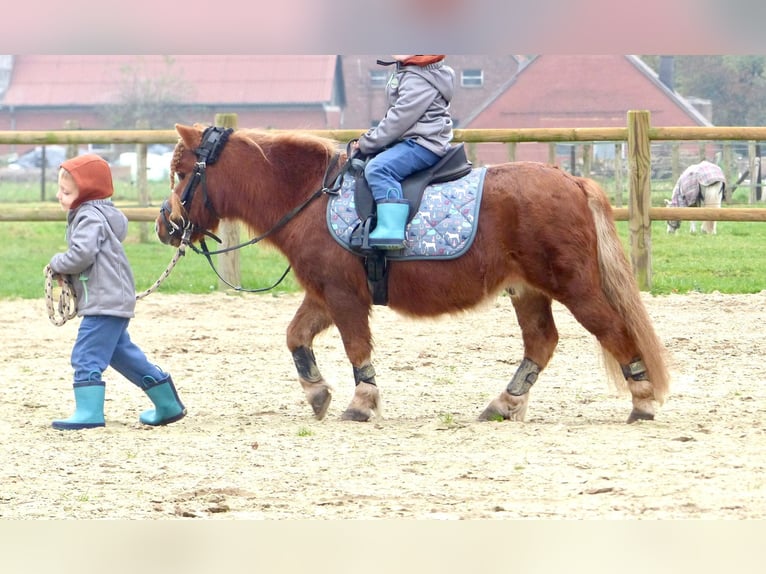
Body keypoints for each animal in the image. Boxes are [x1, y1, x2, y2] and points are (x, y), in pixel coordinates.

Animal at [158, 124, 672, 426]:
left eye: (181, 173)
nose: (166, 226)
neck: (311, 197)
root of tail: (573, 180)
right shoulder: (323, 294)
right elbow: (295, 337)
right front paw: (318, 393)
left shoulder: (344, 297)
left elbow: (356, 348)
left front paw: (361, 403)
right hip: (527, 291)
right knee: (541, 343)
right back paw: (504, 404)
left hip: (575, 286)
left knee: (614, 329)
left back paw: (643, 399)